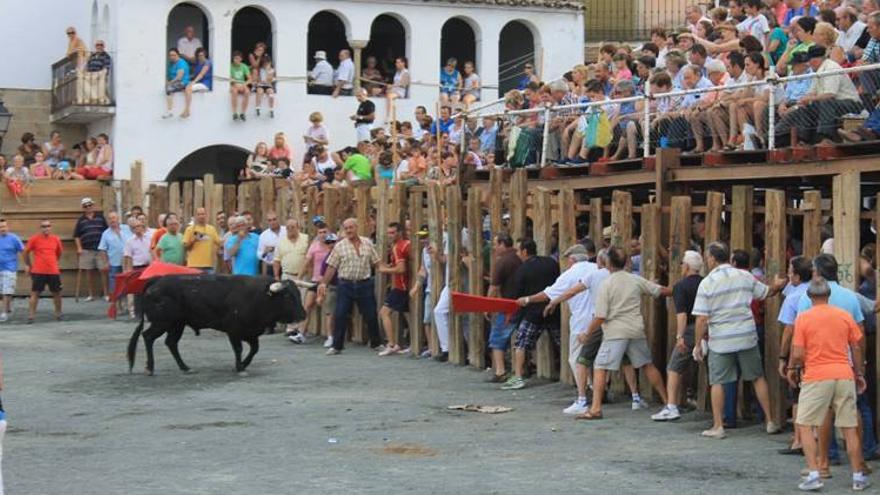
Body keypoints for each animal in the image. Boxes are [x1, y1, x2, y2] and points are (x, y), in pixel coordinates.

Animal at [125, 276, 308, 376]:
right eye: (287, 296)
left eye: (299, 294)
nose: (303, 315)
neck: (259, 296)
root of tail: (156, 281)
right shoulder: (234, 331)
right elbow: (239, 349)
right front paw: (240, 367)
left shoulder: (250, 332)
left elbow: (254, 349)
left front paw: (243, 364)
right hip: (163, 322)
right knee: (148, 337)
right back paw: (150, 368)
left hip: (177, 324)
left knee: (171, 343)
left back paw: (185, 368)